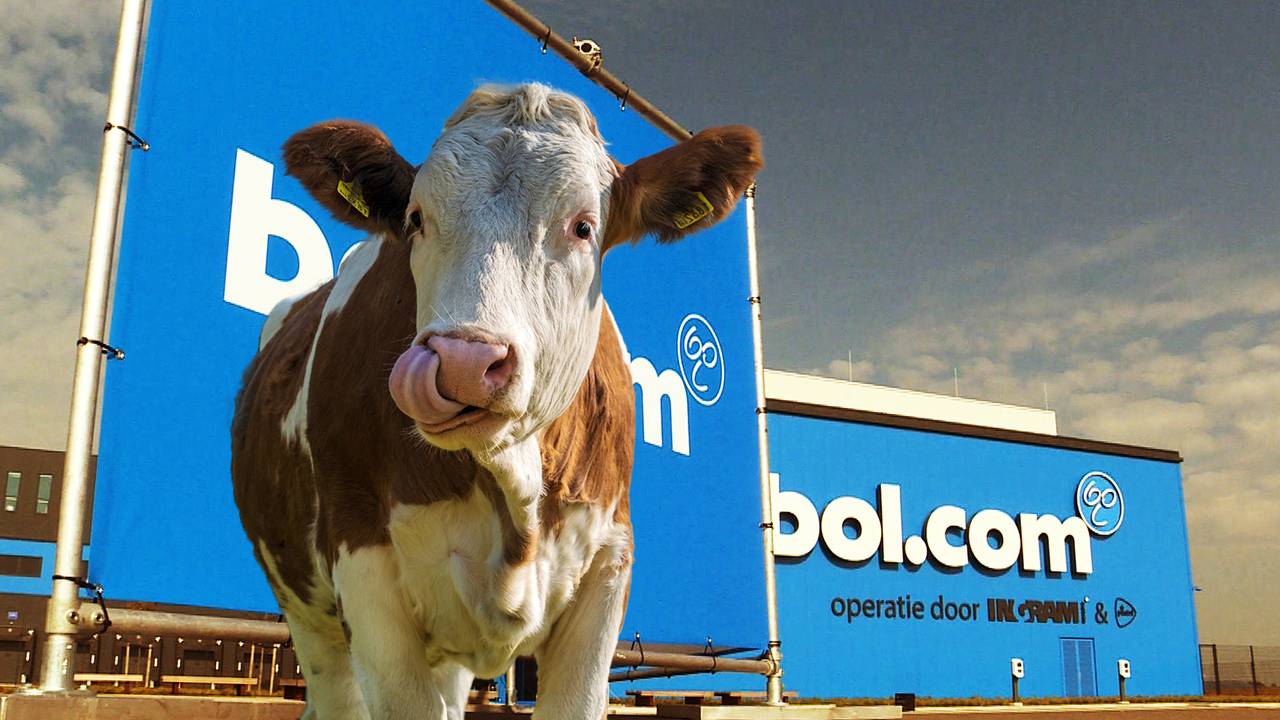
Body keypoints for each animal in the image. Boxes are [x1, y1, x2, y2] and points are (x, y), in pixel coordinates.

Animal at [232, 83, 761, 720]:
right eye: (415, 219)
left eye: (584, 226)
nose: (462, 363)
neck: (513, 486)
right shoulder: (358, 558)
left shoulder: (609, 563)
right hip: (312, 619)